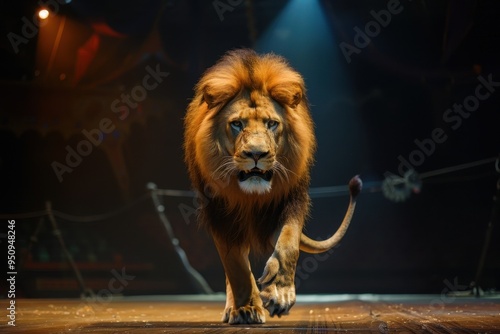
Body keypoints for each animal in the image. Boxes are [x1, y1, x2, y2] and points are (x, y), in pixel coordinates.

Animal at [184, 49, 360, 324]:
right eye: (237, 124)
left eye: (271, 123)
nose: (256, 154)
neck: (250, 196)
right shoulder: (220, 215)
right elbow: (235, 267)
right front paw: (246, 307)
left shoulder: (290, 201)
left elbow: (288, 243)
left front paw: (279, 292)